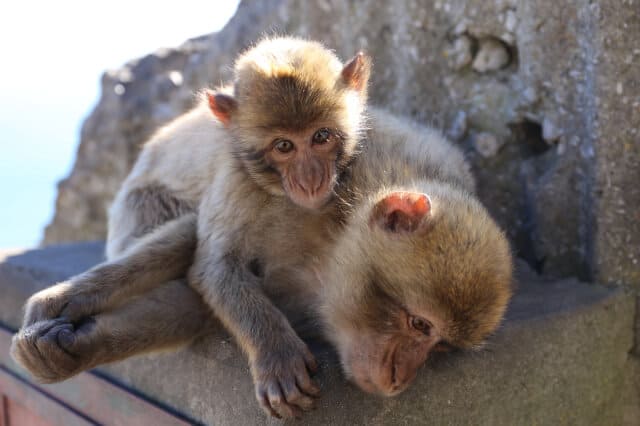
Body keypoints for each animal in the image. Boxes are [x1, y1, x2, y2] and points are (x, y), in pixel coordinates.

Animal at [11, 37, 513, 419]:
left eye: (440, 346)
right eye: (418, 323)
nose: (399, 380)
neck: (334, 240)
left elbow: (192, 300)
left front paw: (78, 344)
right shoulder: (258, 186)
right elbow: (208, 257)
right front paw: (61, 303)